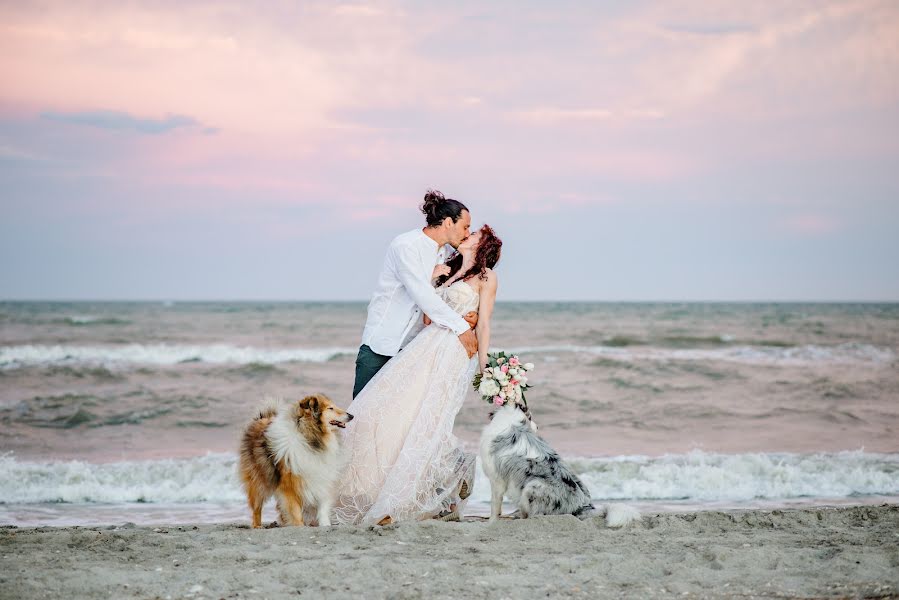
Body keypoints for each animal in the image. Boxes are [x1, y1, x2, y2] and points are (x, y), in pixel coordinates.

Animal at [237, 396, 354, 528]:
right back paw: (257, 525)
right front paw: (298, 525)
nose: (351, 416)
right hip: (259, 481)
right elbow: (295, 511)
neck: (311, 439)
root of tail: (262, 418)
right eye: (330, 408)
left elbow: (323, 506)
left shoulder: (322, 477)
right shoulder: (289, 485)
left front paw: (325, 524)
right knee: (257, 507)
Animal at [482, 404, 636, 524]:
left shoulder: (497, 480)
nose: (538, 426)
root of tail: (583, 505)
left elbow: (495, 506)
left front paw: (491, 523)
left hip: (532, 486)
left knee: (534, 514)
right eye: (530, 417)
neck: (511, 420)